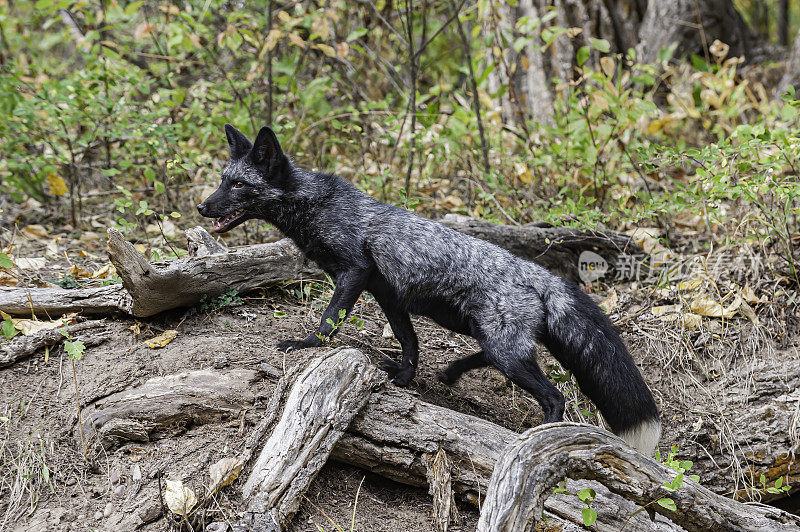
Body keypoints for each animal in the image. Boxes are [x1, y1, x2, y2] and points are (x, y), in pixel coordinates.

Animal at [197, 124, 660, 454]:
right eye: (222, 179)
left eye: (238, 185)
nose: (201, 206)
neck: (315, 205)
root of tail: (542, 275)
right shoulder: (385, 291)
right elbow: (409, 341)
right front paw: (403, 378)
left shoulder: (353, 271)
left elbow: (330, 320)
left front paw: (307, 344)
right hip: (486, 336)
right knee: (491, 358)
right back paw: (452, 372)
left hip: (505, 351)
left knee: (556, 398)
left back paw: (535, 436)